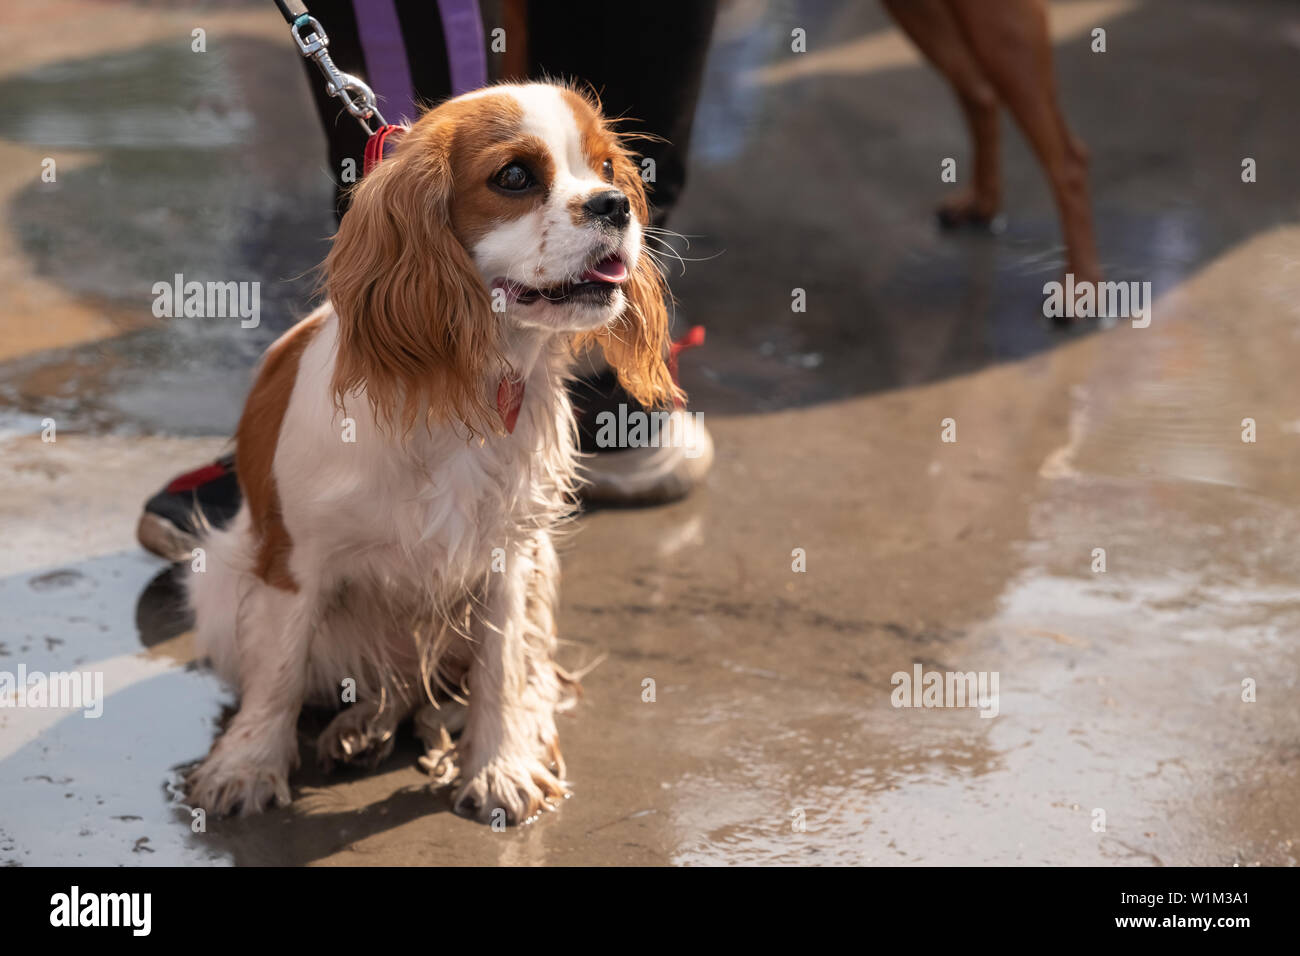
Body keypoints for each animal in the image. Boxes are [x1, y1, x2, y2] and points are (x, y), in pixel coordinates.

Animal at [188, 83, 676, 822]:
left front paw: (500, 765)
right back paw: (361, 725)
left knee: (502, 678)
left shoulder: (510, 558)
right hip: (218, 584)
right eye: (514, 177)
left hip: (542, 567)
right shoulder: (295, 562)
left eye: (608, 169)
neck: (464, 383)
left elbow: (501, 670)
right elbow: (277, 673)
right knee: (383, 685)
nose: (614, 204)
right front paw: (246, 766)